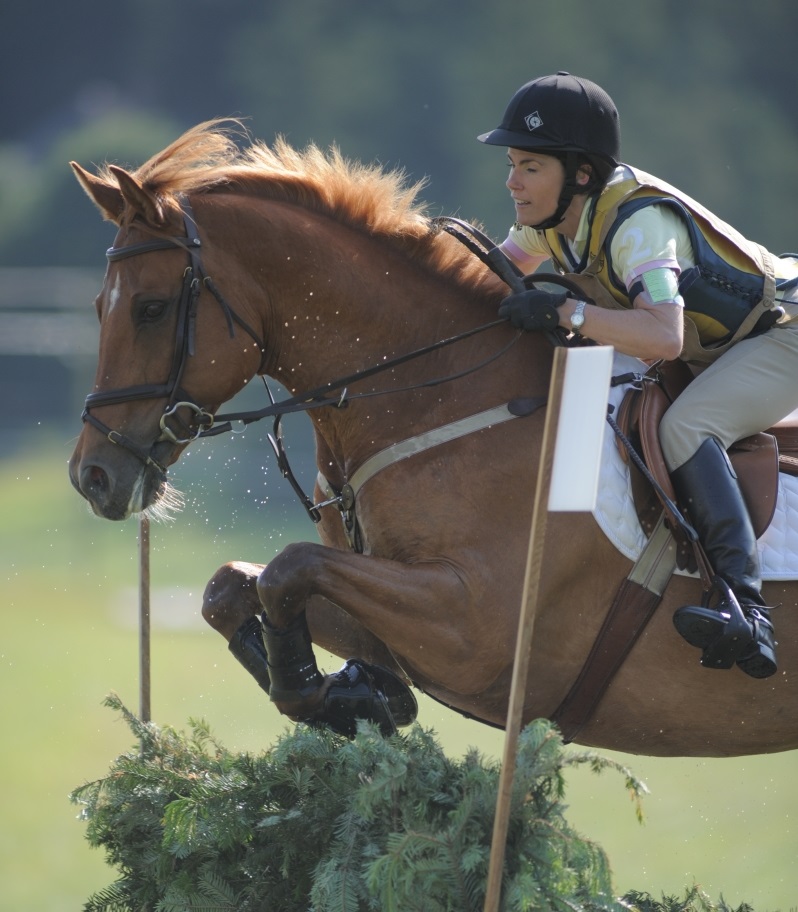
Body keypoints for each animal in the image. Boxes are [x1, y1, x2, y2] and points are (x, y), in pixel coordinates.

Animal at [68, 120, 798, 758]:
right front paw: (355, 695)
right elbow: (232, 587)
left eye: (151, 308)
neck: (439, 391)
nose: (91, 477)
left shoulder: (475, 632)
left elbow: (287, 569)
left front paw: (319, 690)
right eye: (100, 308)